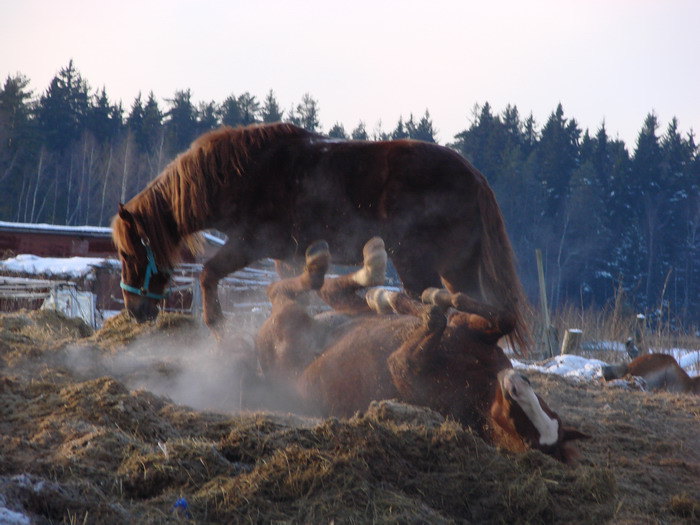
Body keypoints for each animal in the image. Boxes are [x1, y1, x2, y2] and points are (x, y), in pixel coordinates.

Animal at [113, 123, 532, 352]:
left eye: (128, 254)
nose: (135, 311)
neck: (245, 173)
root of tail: (474, 177)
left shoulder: (252, 244)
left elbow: (208, 274)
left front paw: (219, 328)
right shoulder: (286, 257)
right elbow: (305, 288)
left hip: (415, 263)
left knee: (435, 307)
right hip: (456, 268)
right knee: (470, 308)